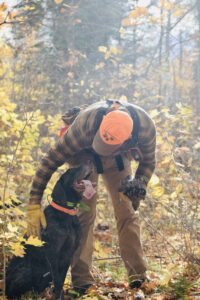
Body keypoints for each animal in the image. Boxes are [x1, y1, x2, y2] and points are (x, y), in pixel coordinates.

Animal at [5, 164, 93, 300]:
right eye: (71, 170)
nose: (88, 163)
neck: (66, 213)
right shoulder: (53, 255)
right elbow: (58, 282)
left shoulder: (68, 255)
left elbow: (61, 281)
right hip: (26, 271)